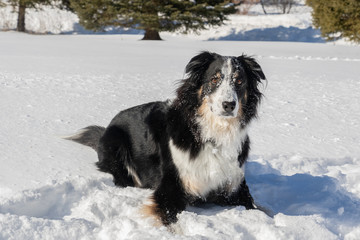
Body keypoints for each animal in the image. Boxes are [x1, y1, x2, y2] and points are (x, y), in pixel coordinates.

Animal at [66, 51, 266, 226]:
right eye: (215, 79)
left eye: (239, 81)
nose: (229, 105)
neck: (212, 135)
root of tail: (107, 127)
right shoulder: (171, 189)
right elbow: (170, 221)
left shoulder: (234, 187)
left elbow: (260, 210)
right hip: (115, 142)